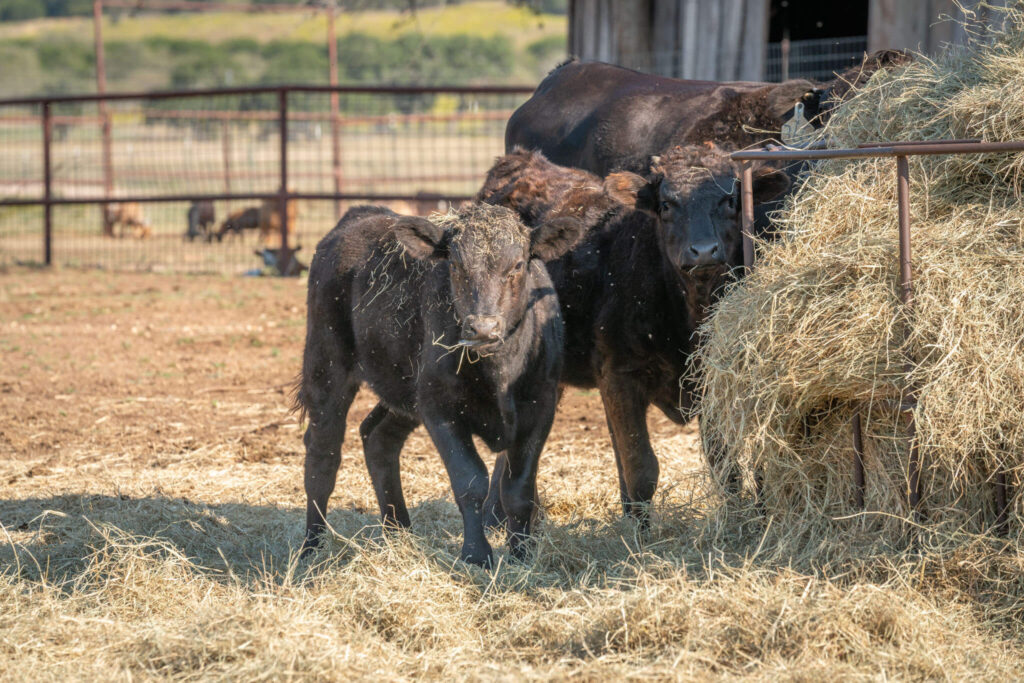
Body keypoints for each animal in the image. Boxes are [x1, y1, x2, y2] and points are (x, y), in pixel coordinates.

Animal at [296, 204, 584, 566]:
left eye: (518, 265)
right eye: (457, 265)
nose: (483, 328)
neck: (498, 373)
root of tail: (361, 214)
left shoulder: (540, 408)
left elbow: (518, 490)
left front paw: (522, 555)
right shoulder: (440, 408)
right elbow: (470, 481)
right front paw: (476, 555)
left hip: (404, 389)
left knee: (378, 437)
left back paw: (398, 534)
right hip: (326, 365)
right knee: (323, 454)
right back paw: (313, 547)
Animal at [477, 145, 790, 526]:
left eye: (730, 201)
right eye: (667, 205)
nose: (703, 250)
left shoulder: (710, 382)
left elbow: (723, 463)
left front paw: (733, 523)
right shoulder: (621, 376)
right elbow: (641, 468)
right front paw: (640, 535)